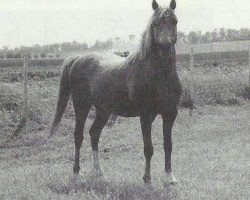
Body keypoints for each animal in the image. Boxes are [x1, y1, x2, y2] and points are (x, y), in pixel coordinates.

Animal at [49, 0, 182, 186]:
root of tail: (77, 59)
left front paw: (170, 178)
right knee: (78, 137)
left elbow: (168, 145)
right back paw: (76, 174)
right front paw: (147, 179)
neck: (159, 75)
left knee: (94, 134)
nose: (165, 47)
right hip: (81, 107)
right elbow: (148, 148)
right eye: (155, 24)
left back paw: (99, 173)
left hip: (103, 111)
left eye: (174, 21)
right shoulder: (146, 115)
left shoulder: (170, 114)